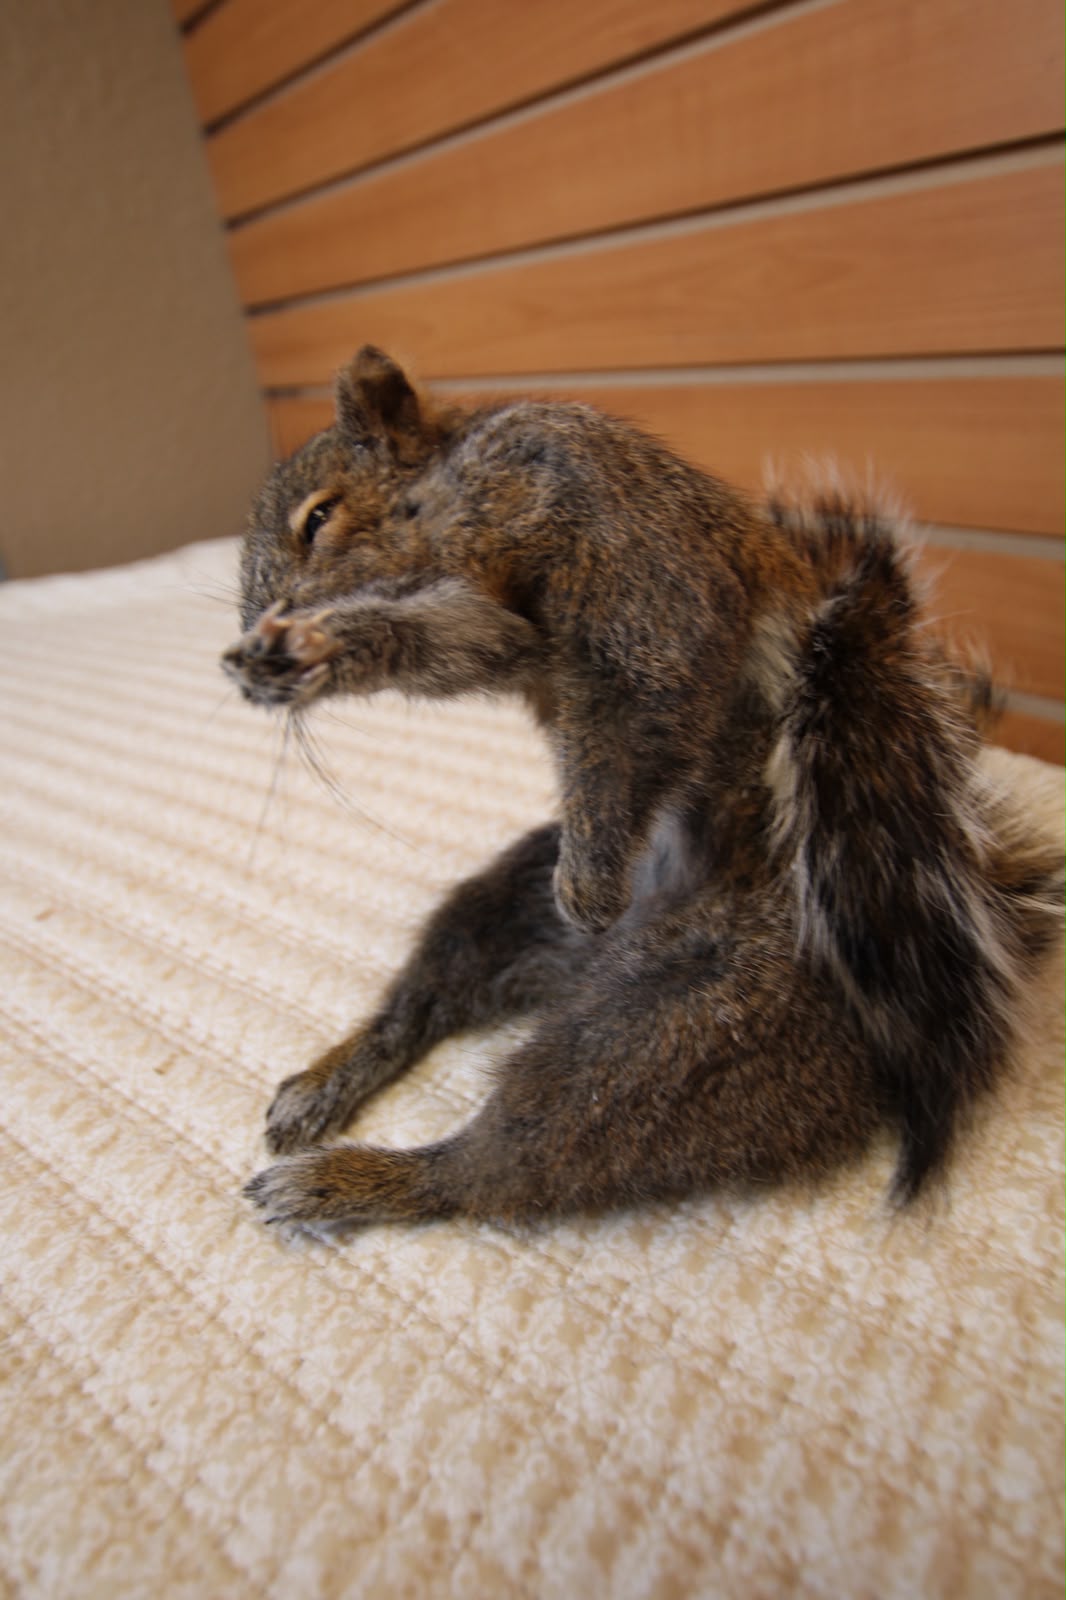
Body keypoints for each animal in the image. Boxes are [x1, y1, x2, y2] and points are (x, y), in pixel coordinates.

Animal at [222, 345, 1066, 1233]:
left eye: (319, 517)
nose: (264, 622)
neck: (453, 494)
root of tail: (588, 972)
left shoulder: (622, 541)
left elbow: (641, 695)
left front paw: (590, 881)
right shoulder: (494, 625)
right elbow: (441, 640)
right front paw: (306, 652)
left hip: (691, 1030)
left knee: (506, 1164)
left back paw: (353, 1180)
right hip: (501, 905)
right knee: (421, 1008)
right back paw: (326, 1085)